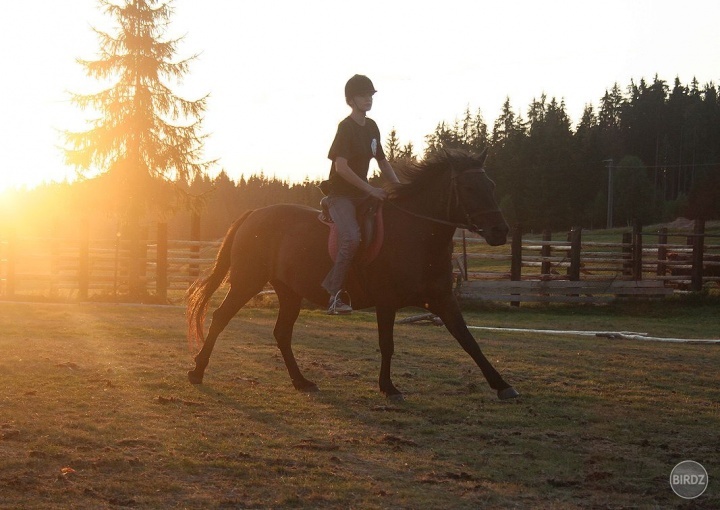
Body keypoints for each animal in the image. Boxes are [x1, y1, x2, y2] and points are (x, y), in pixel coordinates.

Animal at [186, 149, 520, 400]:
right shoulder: (387, 301)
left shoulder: (443, 299)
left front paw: (502, 386)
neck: (416, 234)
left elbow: (469, 340)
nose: (500, 231)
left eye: (491, 185)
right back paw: (197, 371)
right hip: (247, 281)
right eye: (468, 188)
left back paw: (301, 381)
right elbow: (387, 344)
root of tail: (252, 215)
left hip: (289, 292)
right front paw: (389, 388)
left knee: (281, 333)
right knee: (220, 317)